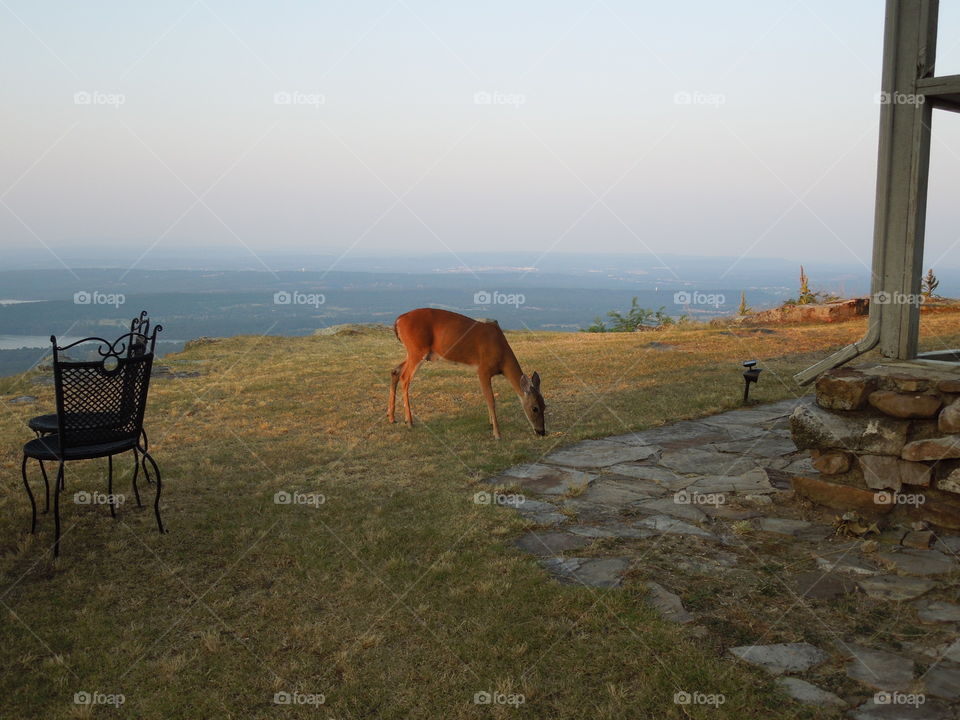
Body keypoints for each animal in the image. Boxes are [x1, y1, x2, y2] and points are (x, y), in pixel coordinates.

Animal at [388, 308, 545, 439]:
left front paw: (490, 423)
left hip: (412, 352)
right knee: (405, 377)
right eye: (535, 408)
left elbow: (487, 398)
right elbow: (491, 399)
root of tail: (398, 320)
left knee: (395, 371)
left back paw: (392, 417)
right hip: (417, 350)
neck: (502, 356)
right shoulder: (483, 369)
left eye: (545, 406)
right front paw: (497, 434)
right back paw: (409, 422)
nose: (542, 432)